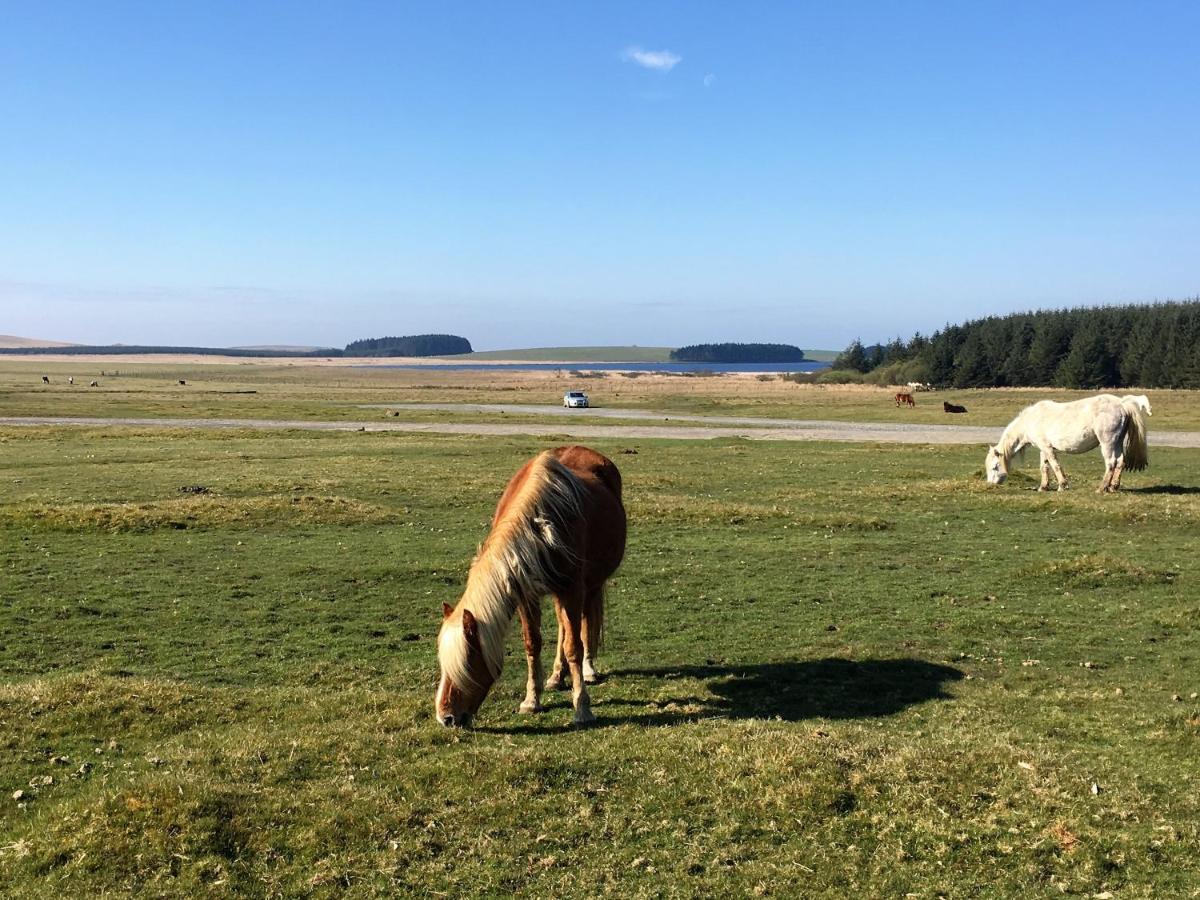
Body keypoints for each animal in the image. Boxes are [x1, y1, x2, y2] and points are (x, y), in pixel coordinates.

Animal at [439, 448, 628, 729]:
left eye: (468, 664)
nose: (446, 718)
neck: (540, 526)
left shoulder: (572, 589)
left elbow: (574, 646)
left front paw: (582, 707)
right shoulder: (525, 594)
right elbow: (533, 643)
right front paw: (531, 700)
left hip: (591, 585)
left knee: (585, 622)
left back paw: (588, 670)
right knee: (563, 626)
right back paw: (557, 676)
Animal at [988, 393, 1147, 494]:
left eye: (995, 467)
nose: (990, 485)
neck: (1031, 420)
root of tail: (1122, 404)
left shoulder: (1047, 448)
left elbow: (1055, 465)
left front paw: (1062, 486)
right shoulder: (1043, 448)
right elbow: (1044, 467)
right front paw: (1043, 487)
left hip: (1107, 443)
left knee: (1111, 463)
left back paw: (1101, 488)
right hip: (1117, 442)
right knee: (1120, 462)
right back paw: (1113, 487)